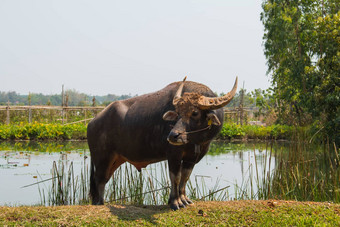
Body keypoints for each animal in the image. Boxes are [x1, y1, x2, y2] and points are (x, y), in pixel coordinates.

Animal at [86, 77, 238, 210]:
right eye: (178, 113)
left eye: (195, 112)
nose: (173, 136)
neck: (193, 141)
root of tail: (92, 122)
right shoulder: (173, 154)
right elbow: (175, 177)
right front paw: (175, 202)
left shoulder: (193, 157)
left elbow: (185, 177)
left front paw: (184, 199)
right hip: (102, 158)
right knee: (99, 179)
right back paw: (100, 203)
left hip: (115, 159)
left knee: (104, 179)